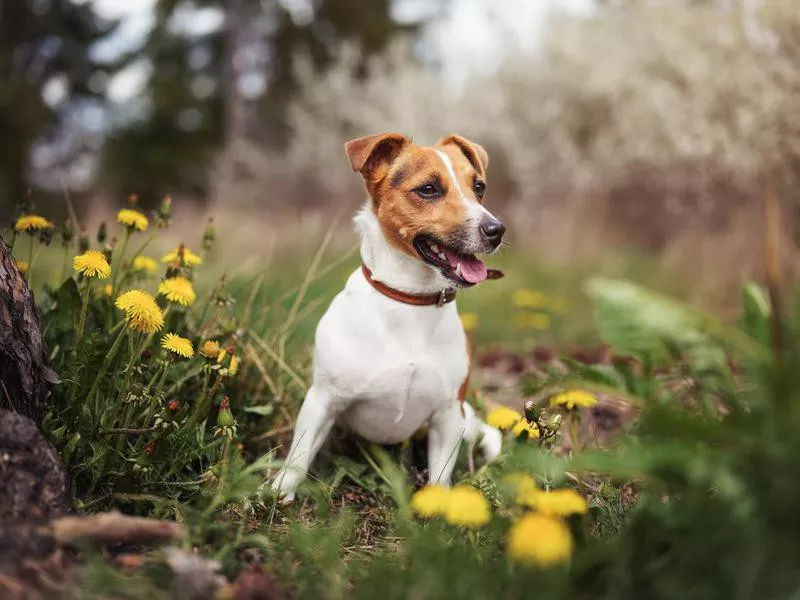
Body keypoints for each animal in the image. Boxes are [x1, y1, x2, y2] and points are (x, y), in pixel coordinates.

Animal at [274, 132, 506, 502]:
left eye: (479, 187)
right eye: (428, 189)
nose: (496, 229)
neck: (410, 300)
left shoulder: (447, 416)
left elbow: (440, 476)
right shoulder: (322, 401)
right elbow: (298, 457)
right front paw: (276, 494)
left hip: (465, 421)